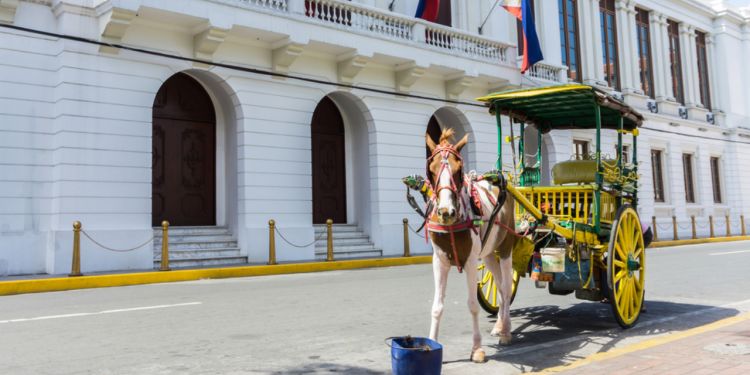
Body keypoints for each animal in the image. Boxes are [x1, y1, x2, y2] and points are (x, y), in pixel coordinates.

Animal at [424, 128, 516, 362]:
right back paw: (499, 326)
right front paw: (431, 343)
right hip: (489, 254)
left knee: (505, 287)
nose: (446, 212)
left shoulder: (471, 262)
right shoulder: (439, 261)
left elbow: (473, 305)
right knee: (499, 288)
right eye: (431, 170)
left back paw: (506, 331)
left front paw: (477, 348)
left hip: (505, 249)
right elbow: (437, 306)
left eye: (459, 171)